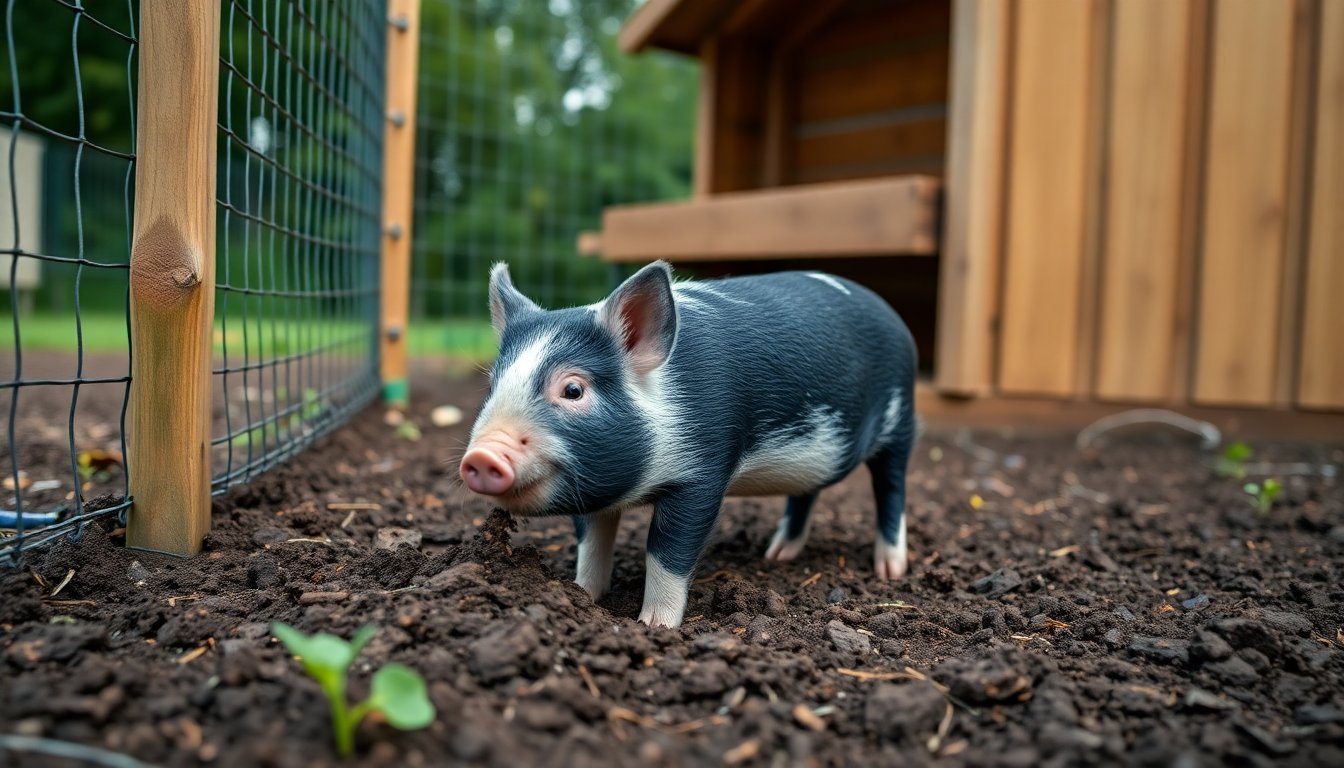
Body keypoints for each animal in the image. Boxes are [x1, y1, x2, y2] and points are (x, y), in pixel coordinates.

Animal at [459, 261, 917, 627]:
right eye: (493, 385)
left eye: (573, 389)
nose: (481, 457)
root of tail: (893, 316)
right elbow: (592, 542)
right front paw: (583, 596)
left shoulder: (704, 470)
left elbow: (667, 551)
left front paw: (655, 626)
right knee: (807, 493)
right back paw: (777, 556)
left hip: (901, 421)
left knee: (892, 486)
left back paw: (890, 571)